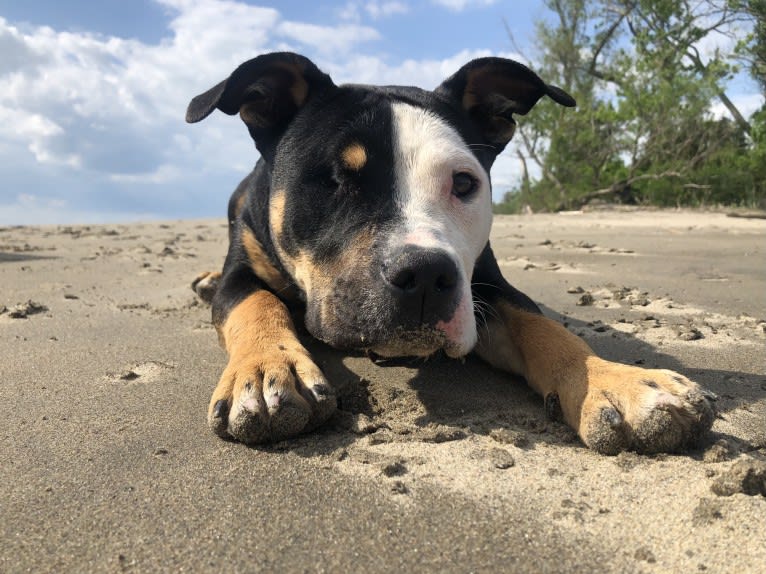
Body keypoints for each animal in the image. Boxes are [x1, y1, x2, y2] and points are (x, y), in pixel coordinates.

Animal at [189, 51, 716, 454]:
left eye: (464, 184)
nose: (425, 275)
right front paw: (265, 372)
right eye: (334, 180)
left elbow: (543, 326)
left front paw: (616, 381)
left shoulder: (485, 286)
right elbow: (256, 303)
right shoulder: (242, 273)